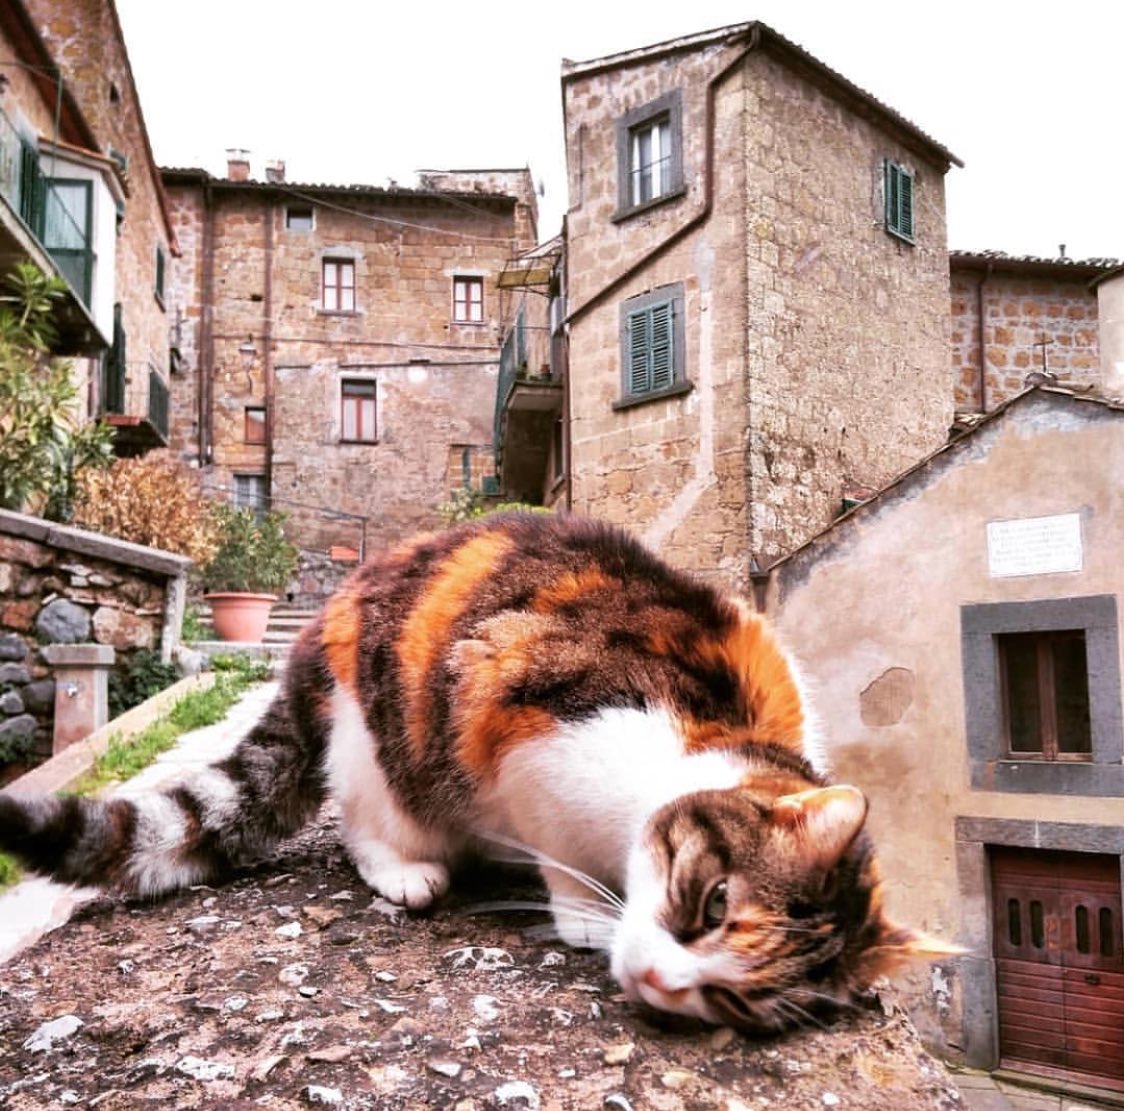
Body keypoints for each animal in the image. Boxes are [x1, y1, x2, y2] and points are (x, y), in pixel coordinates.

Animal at [0, 512, 948, 1034]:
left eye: (742, 1003)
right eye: (714, 903)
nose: (657, 982)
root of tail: (320, 628)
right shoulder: (524, 734)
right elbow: (561, 861)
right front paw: (584, 915)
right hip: (382, 737)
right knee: (363, 819)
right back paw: (408, 869)